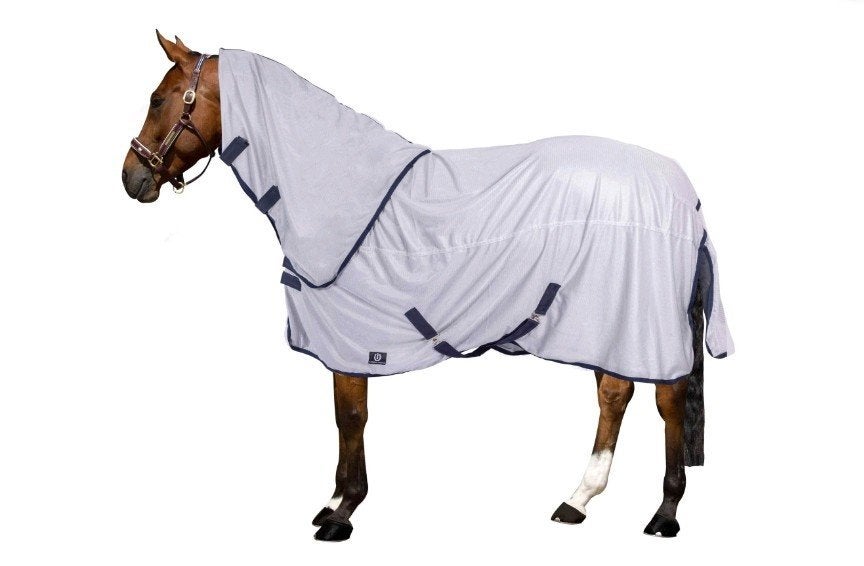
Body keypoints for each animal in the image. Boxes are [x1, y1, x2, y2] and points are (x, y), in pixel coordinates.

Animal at [122, 32, 733, 542]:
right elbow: (342, 418)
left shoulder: (352, 338)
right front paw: (333, 503)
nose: (132, 177)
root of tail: (684, 193)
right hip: (608, 320)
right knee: (614, 395)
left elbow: (351, 418)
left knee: (666, 401)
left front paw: (343, 513)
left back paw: (664, 513)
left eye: (159, 99)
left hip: (643, 322)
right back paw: (577, 501)